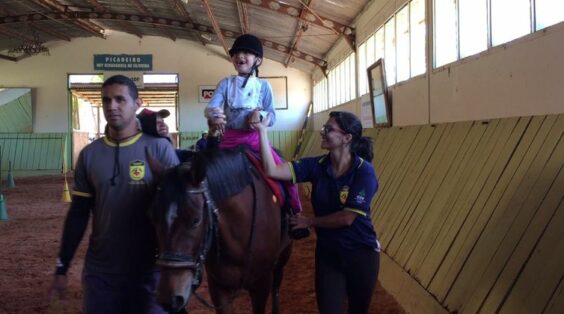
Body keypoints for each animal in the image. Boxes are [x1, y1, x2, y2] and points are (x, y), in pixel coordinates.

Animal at [148, 148, 294, 312]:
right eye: (152, 217)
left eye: (196, 220)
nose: (168, 299)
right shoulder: (219, 287)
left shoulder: (262, 284)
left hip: (284, 254)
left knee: (277, 282)